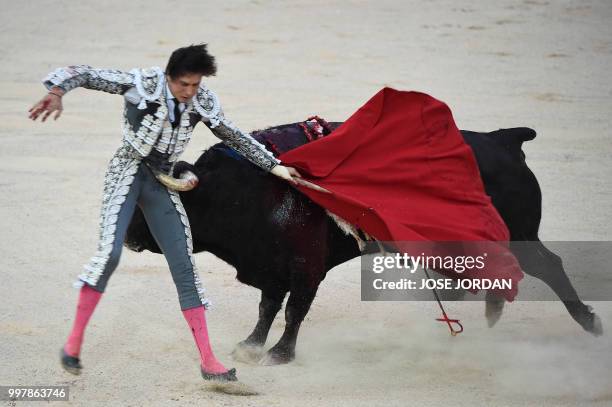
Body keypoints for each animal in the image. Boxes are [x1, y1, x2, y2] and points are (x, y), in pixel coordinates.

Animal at [123, 122, 604, 366]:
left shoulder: (306, 267)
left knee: (549, 265)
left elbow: (294, 310)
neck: (243, 191)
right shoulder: (272, 268)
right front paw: (251, 346)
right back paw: (490, 313)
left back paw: (590, 324)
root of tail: (504, 140)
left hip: (521, 237)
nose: (125, 236)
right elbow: (267, 307)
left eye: (150, 206)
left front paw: (280, 353)